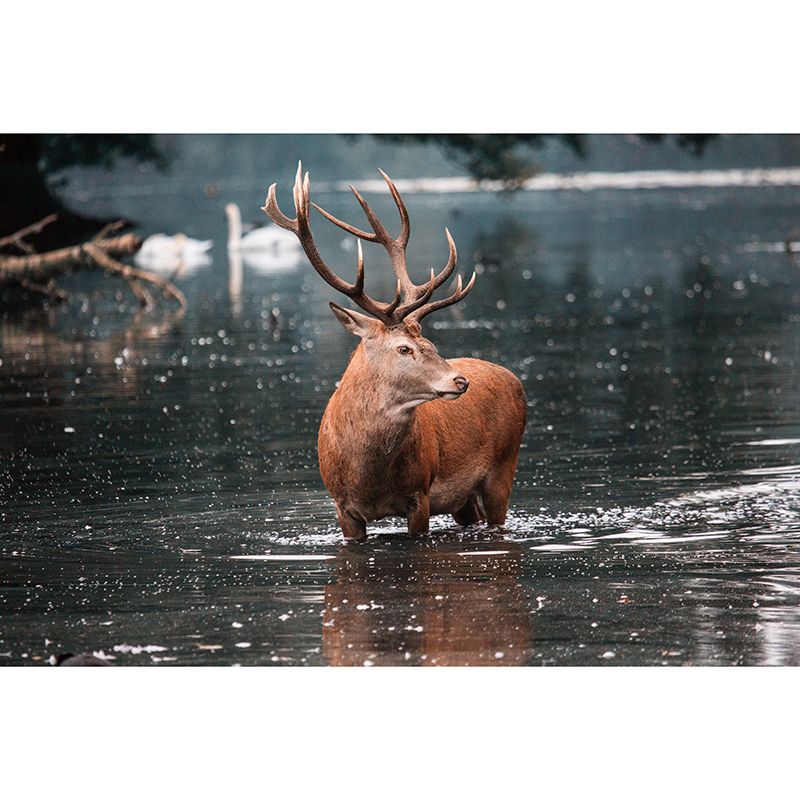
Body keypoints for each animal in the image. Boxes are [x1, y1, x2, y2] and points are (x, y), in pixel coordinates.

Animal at [263, 163, 526, 542]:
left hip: (504, 465)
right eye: (404, 348)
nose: (460, 381)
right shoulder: (341, 506)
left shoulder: (420, 494)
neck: (369, 478)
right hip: (463, 498)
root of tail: (513, 378)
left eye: (431, 344)